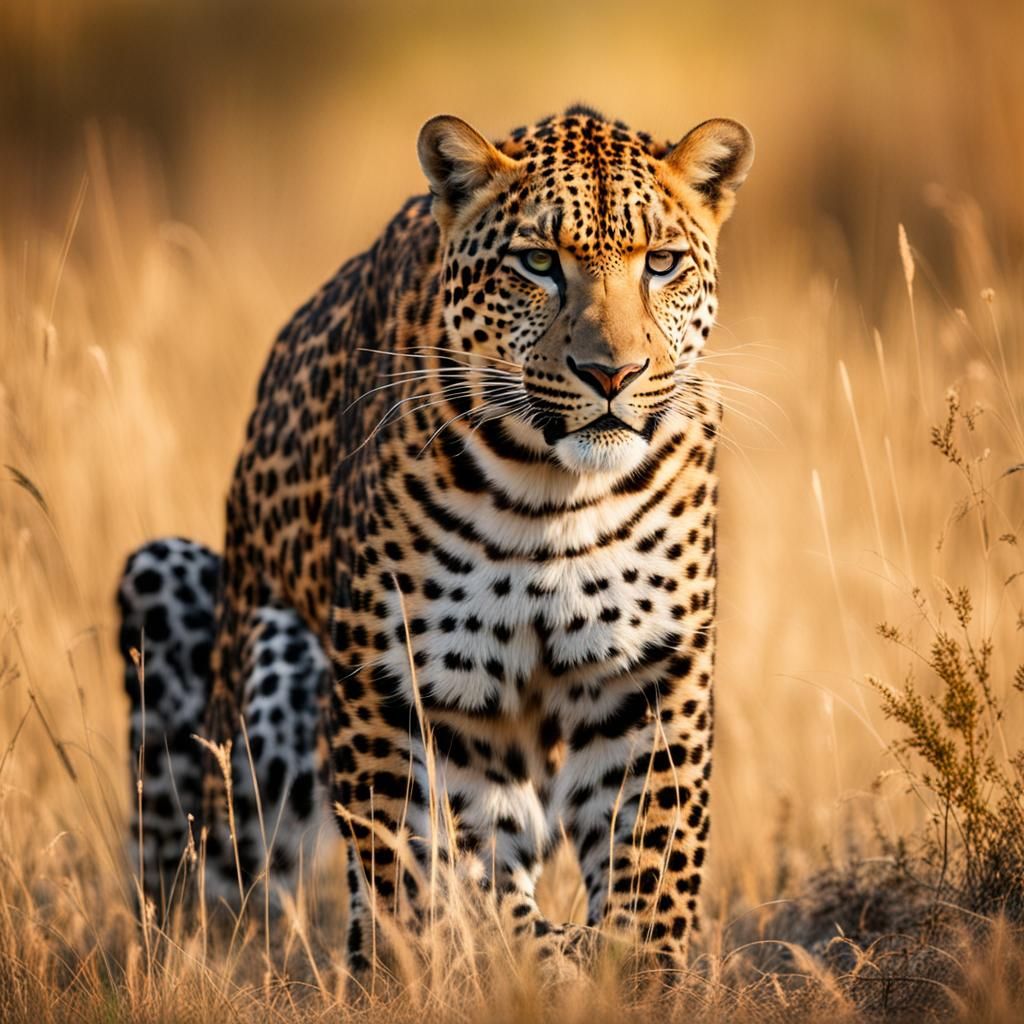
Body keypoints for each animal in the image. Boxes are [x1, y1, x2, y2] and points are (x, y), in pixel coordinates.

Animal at [117, 105, 753, 975]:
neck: (556, 495)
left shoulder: (650, 668)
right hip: (184, 605)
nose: (612, 375)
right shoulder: (407, 681)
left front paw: (633, 969)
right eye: (537, 263)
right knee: (210, 879)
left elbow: (652, 855)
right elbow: (416, 866)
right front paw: (424, 968)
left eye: (661, 264)